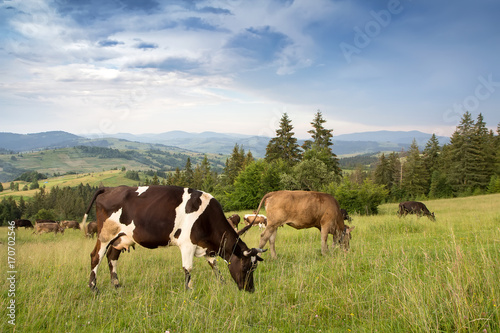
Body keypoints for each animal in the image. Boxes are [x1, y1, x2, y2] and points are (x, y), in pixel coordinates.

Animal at [81, 185, 266, 292]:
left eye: (254, 267)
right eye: (246, 267)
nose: (250, 289)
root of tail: (109, 188)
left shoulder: (207, 247)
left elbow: (214, 265)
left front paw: (221, 283)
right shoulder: (187, 244)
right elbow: (188, 268)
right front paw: (189, 290)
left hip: (121, 238)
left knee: (112, 257)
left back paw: (116, 285)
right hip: (105, 235)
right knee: (96, 256)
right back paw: (93, 288)